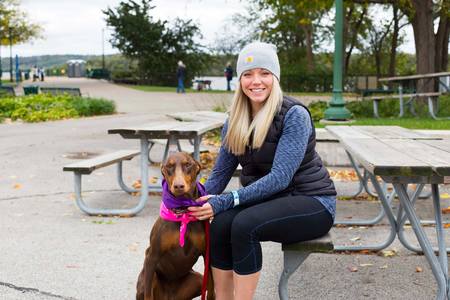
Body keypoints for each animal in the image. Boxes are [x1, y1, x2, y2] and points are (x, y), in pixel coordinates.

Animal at [135, 152, 214, 300]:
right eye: (169, 166)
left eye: (188, 164)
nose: (178, 186)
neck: (183, 211)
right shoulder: (152, 257)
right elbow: (148, 294)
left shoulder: (207, 256)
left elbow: (212, 289)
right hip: (149, 276)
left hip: (197, 279)